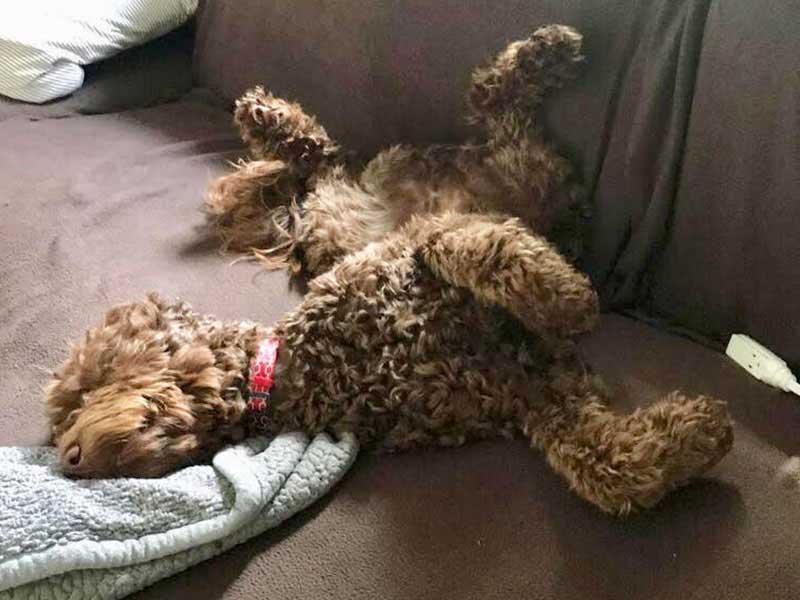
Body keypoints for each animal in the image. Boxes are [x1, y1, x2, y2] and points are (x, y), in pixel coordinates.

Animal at [43, 27, 732, 516]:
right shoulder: (534, 393)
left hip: (510, 175)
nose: (70, 460)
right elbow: (607, 470)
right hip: (516, 178)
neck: (309, 365)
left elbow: (482, 250)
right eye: (58, 434)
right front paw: (699, 432)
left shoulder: (427, 245)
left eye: (88, 389)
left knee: (448, 114)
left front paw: (568, 298)